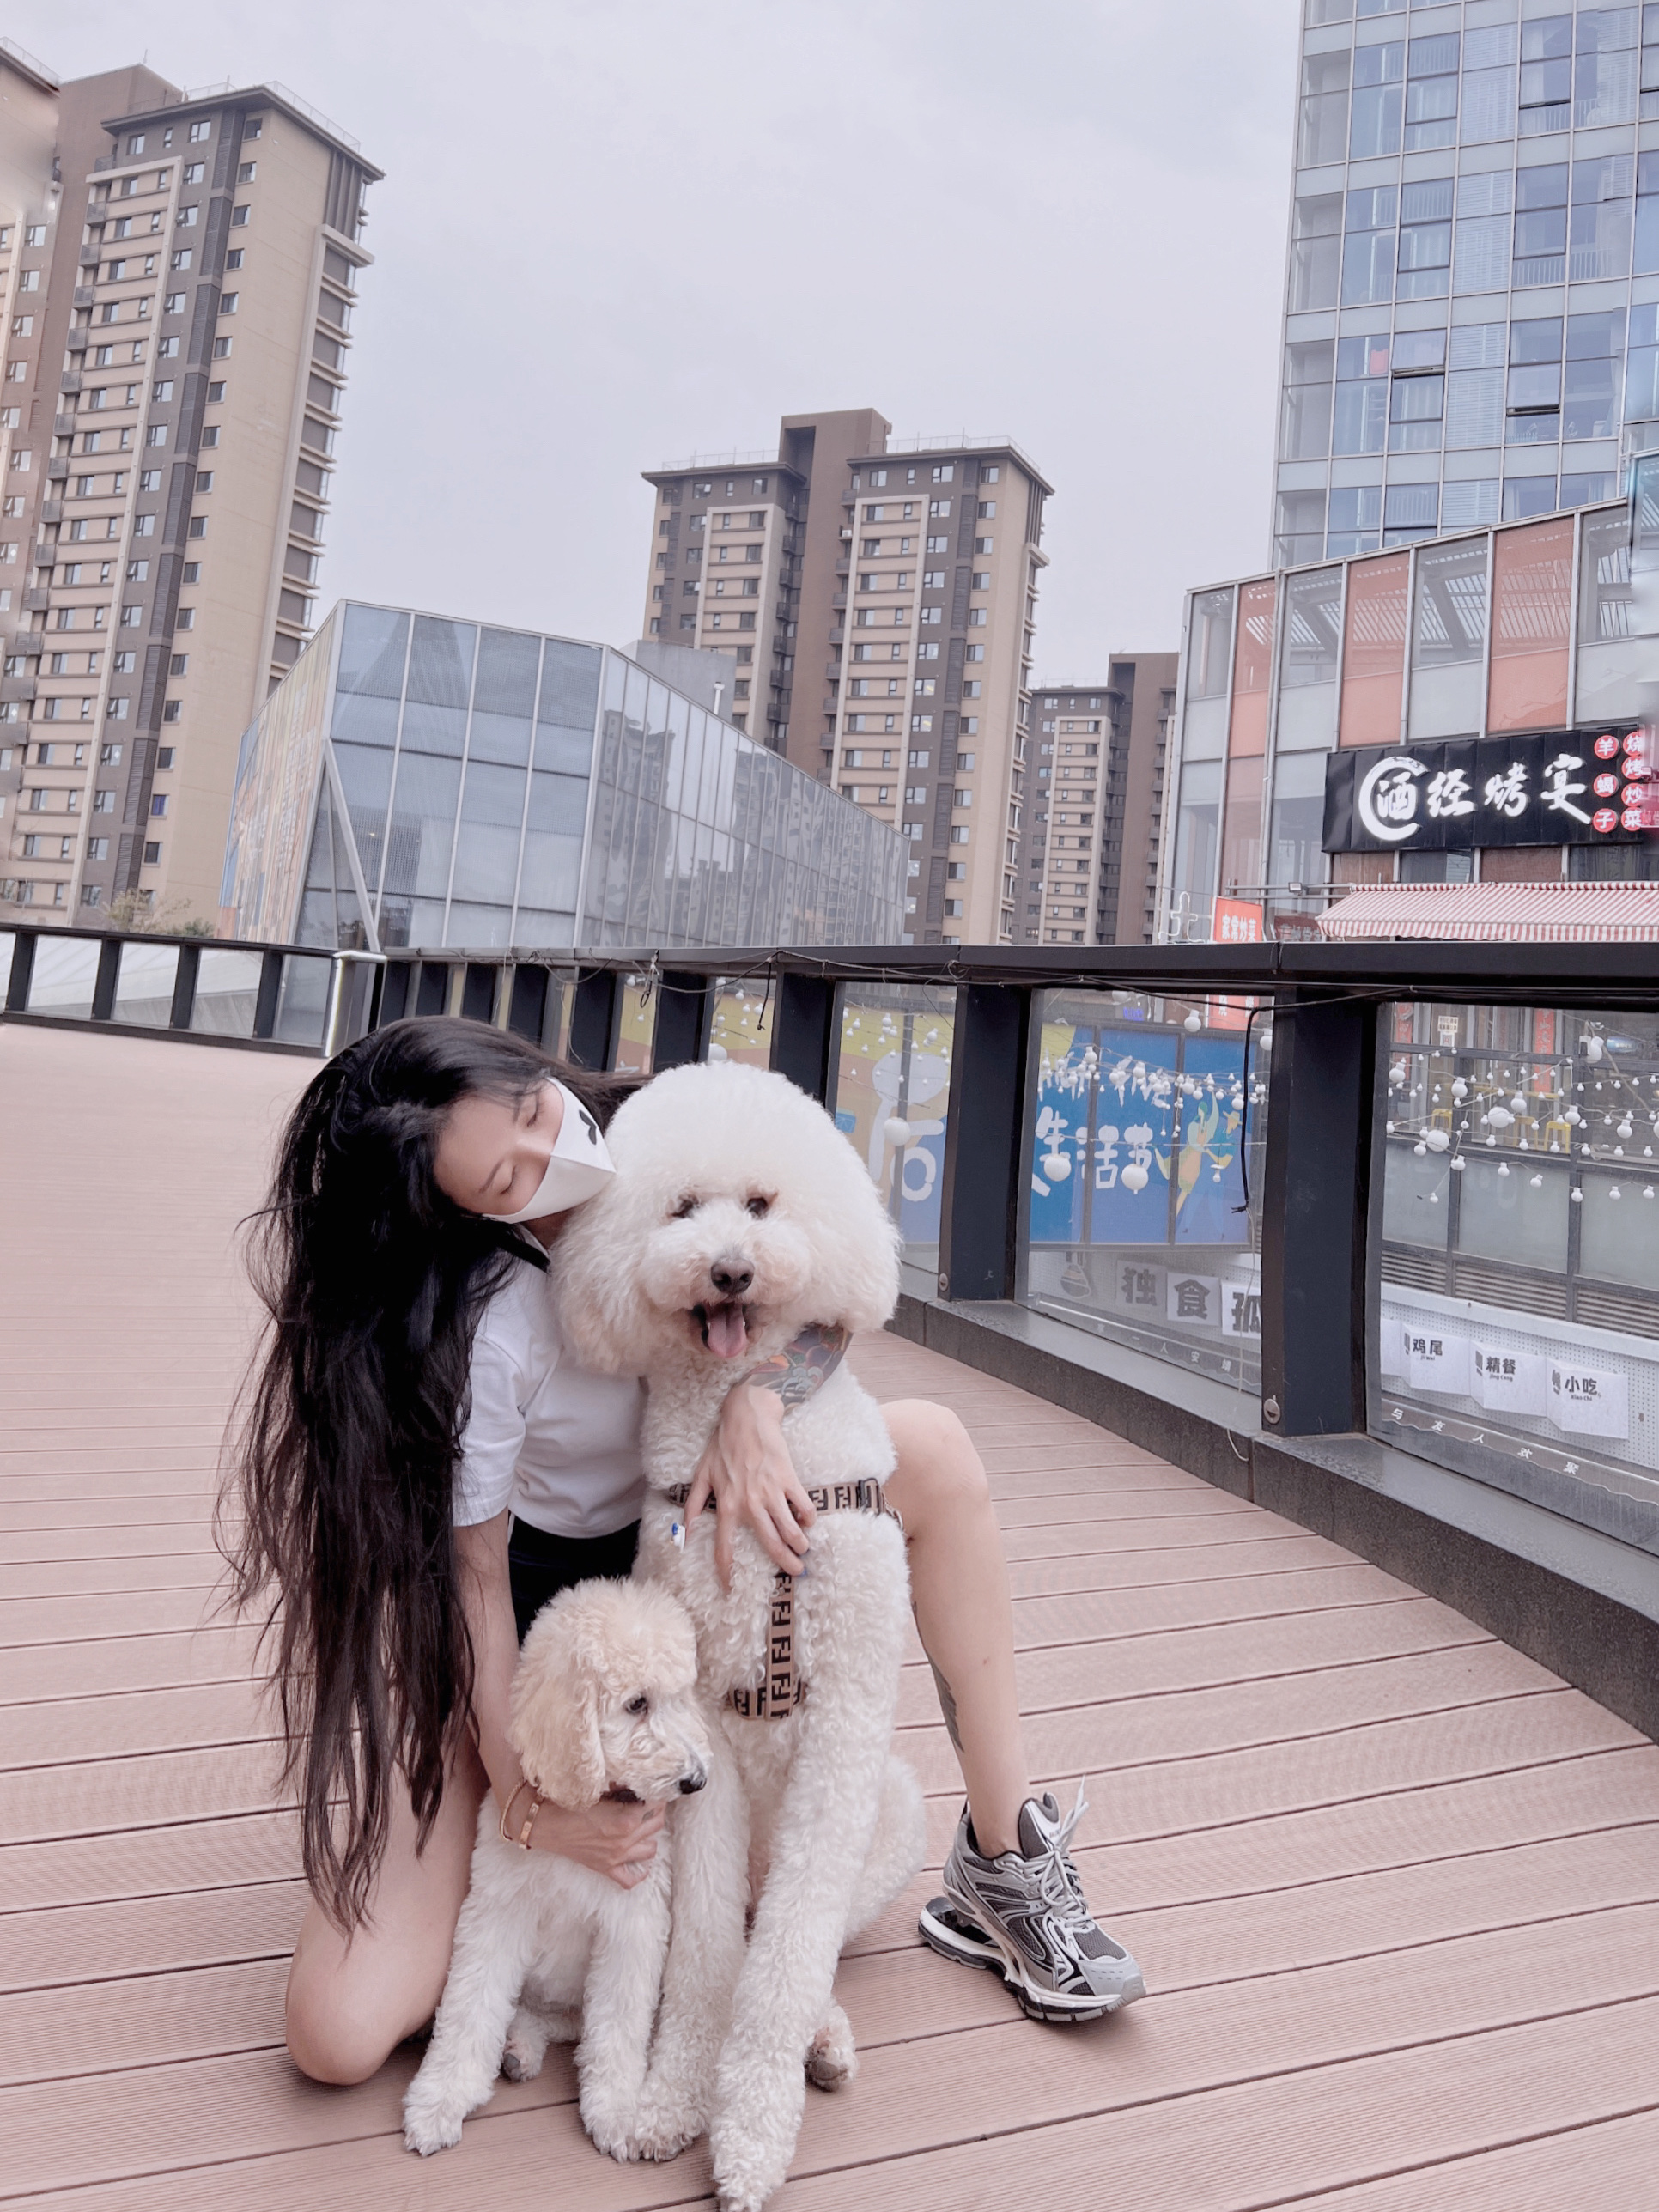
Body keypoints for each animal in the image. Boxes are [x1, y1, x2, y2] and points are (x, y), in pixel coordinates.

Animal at [402, 1577, 712, 2161]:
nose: (697, 1780)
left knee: (573, 2024)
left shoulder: (632, 1927)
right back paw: (517, 2047)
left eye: (683, 1696)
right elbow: (469, 2007)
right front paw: (438, 2099)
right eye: (637, 1703)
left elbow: (618, 2028)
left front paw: (615, 2111)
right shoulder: (497, 1913)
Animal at [554, 1060, 928, 2211]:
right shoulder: (702, 1737)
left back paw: (822, 2035)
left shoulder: (846, 1720)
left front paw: (754, 2129)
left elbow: (789, 1951)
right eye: (681, 1207)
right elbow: (710, 1952)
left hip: (896, 1811)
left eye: (762, 1204)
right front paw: (676, 2096)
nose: (727, 1269)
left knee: (808, 1932)